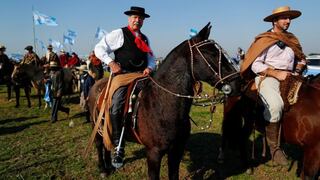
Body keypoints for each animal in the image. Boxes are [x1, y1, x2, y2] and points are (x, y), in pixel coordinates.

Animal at [86, 23, 241, 179]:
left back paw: (109, 166)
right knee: (99, 144)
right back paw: (103, 168)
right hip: (96, 125)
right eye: (212, 53)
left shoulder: (176, 150)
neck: (163, 105)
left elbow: (174, 174)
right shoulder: (154, 153)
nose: (238, 82)